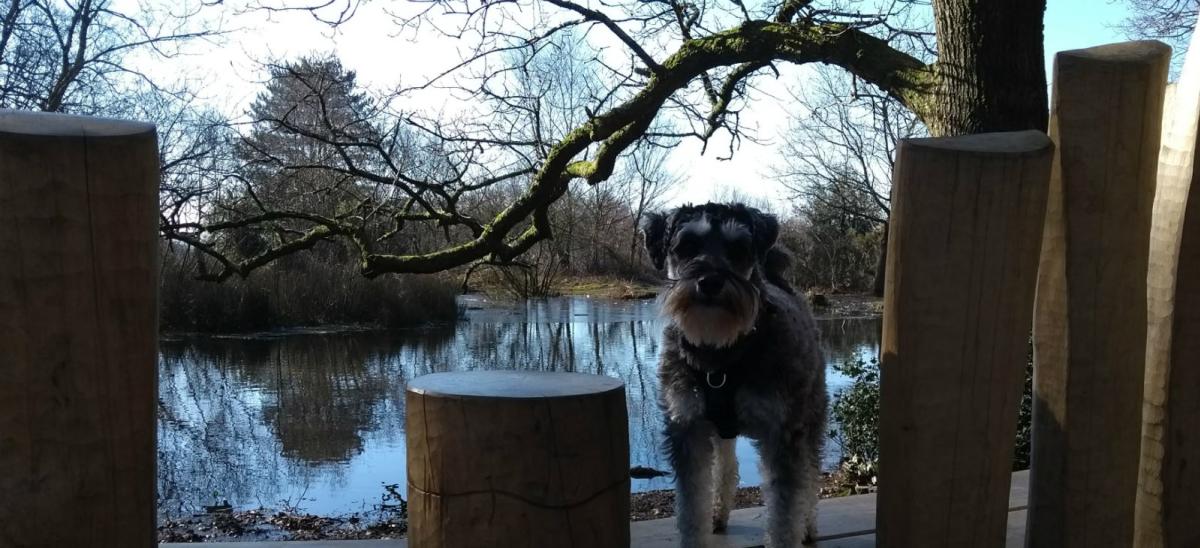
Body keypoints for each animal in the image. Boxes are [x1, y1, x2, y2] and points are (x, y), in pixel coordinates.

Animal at [643, 202, 830, 544]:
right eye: (686, 246)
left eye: (739, 249)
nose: (710, 282)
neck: (720, 354)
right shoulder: (688, 429)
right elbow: (692, 509)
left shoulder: (783, 435)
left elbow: (785, 516)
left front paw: (791, 531)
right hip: (720, 431)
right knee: (726, 466)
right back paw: (718, 514)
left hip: (811, 419)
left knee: (810, 476)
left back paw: (809, 526)